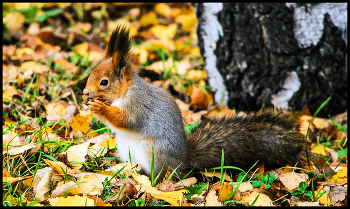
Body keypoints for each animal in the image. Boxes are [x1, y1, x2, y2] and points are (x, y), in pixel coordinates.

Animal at [82, 25, 306, 180]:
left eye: (104, 82)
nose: (85, 93)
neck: (125, 92)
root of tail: (184, 162)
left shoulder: (138, 106)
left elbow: (126, 121)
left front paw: (100, 107)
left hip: (153, 151)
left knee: (164, 175)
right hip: (126, 150)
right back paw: (126, 172)